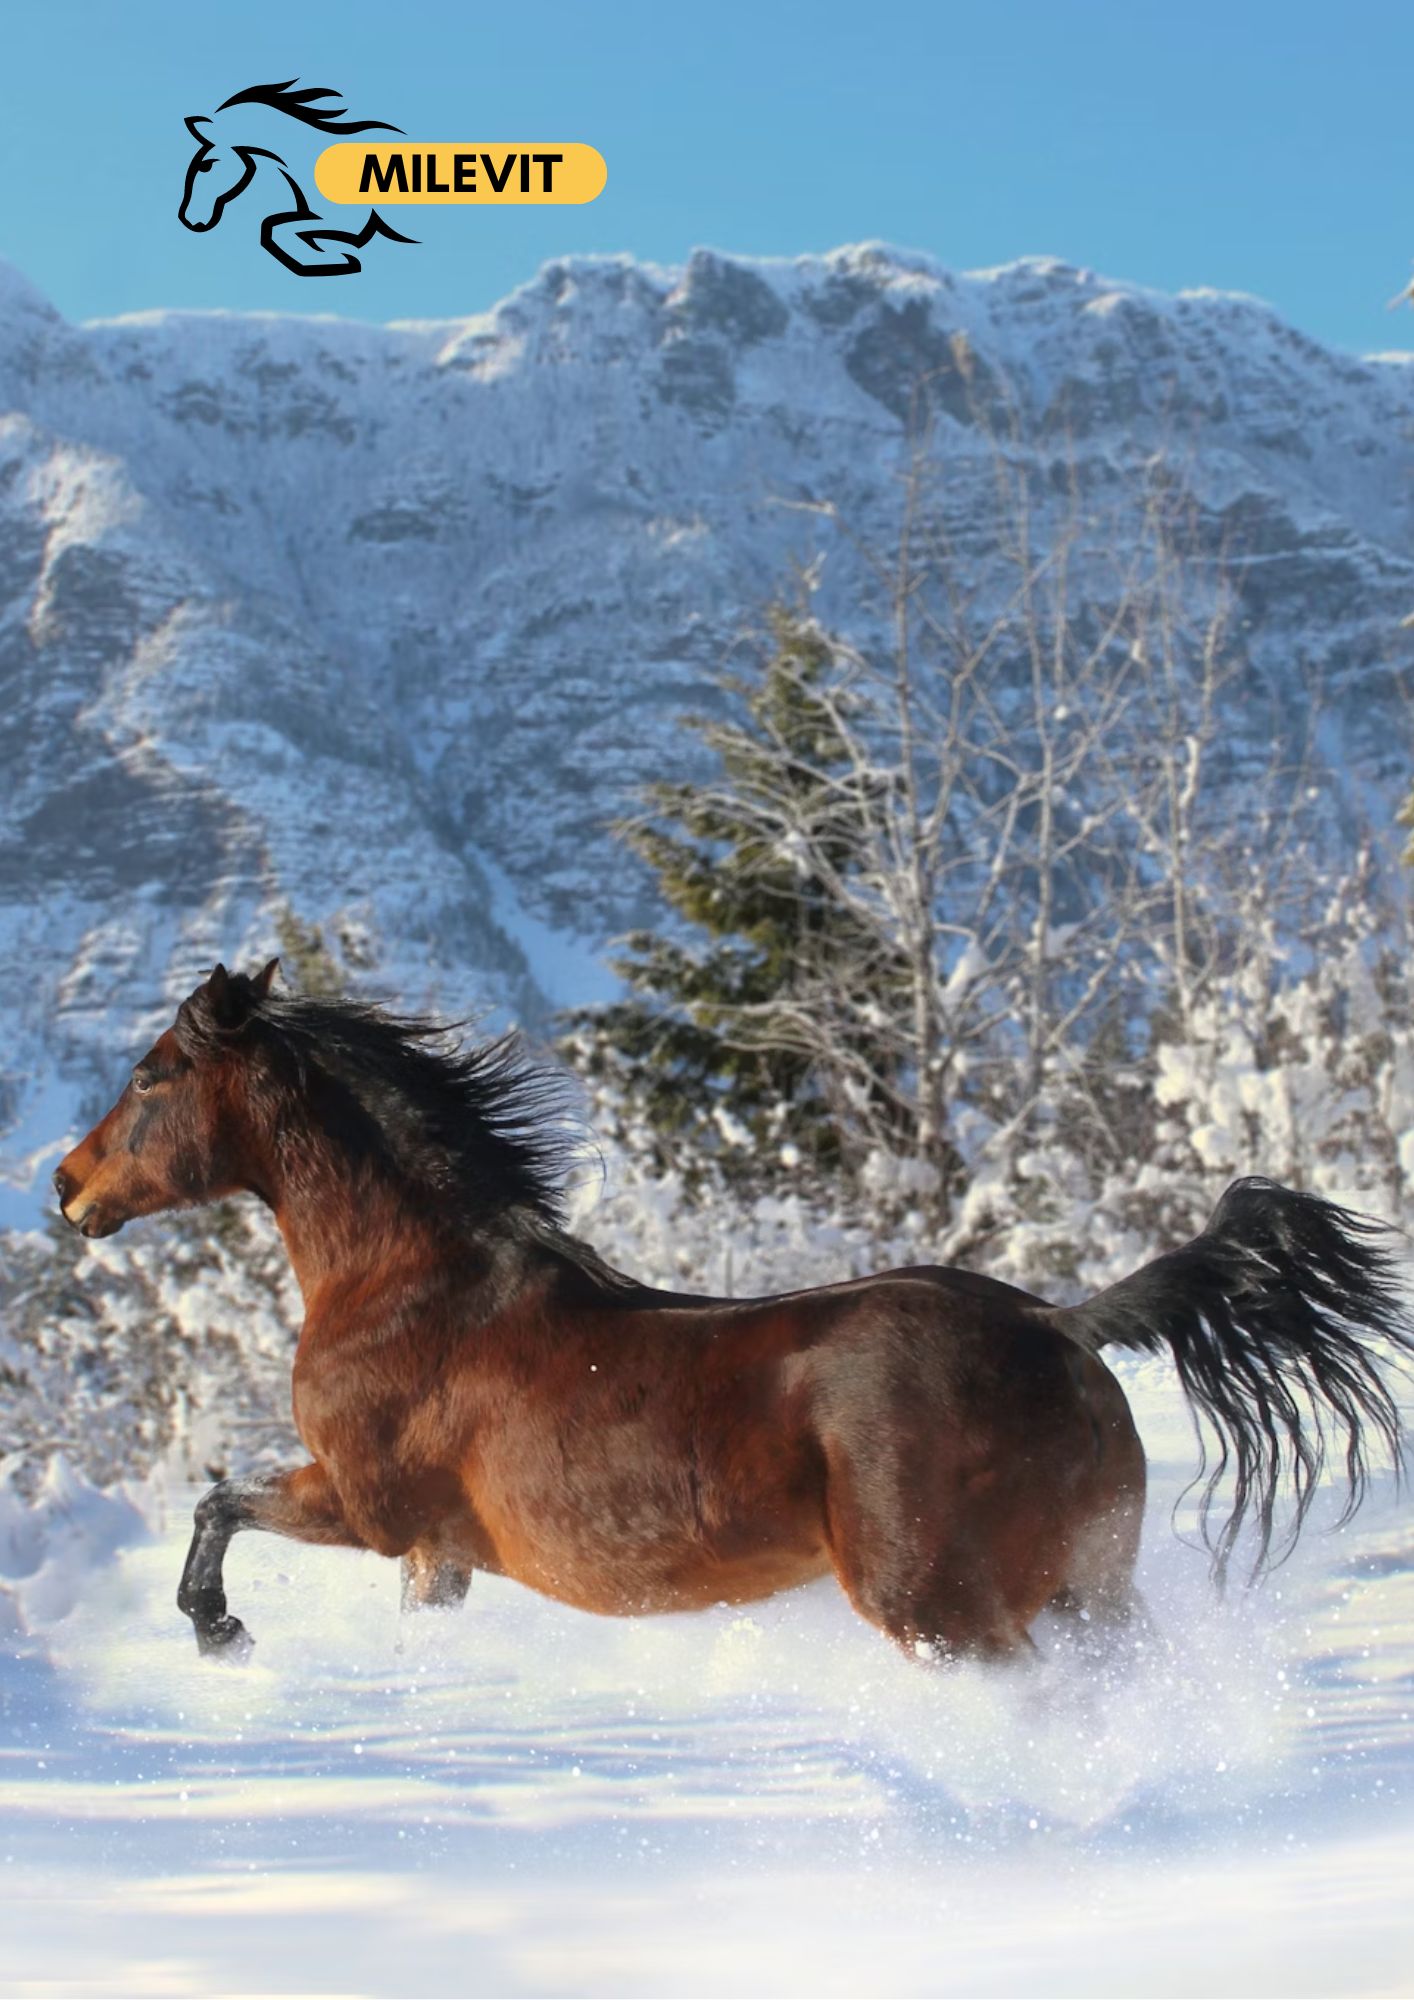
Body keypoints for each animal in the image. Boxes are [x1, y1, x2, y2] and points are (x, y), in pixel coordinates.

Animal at [55, 960, 1414, 1664]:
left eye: (151, 1073)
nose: (66, 1184)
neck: (410, 1288)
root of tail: (1062, 1329)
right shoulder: (437, 1556)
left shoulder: (370, 1503)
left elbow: (220, 1500)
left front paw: (218, 1628)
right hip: (1089, 1586)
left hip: (941, 1604)